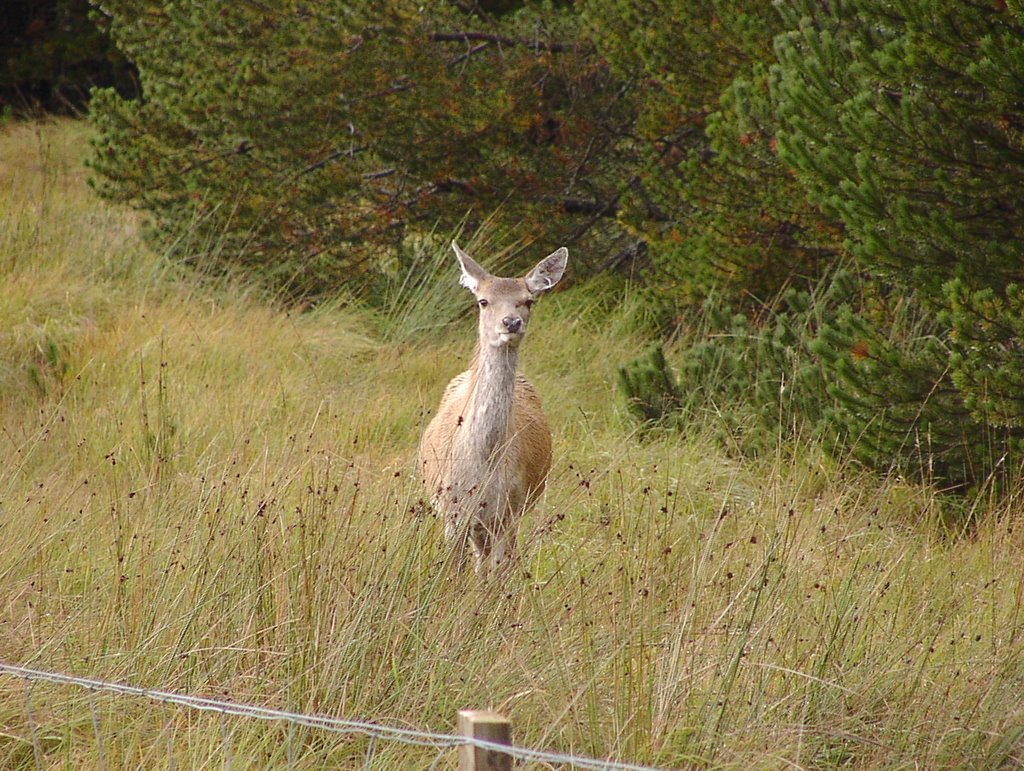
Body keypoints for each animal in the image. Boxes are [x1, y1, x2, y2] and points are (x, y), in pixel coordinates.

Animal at [419, 240, 573, 577]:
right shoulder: (452, 510)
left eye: (529, 301)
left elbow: (499, 574)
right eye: (483, 301)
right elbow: (454, 573)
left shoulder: (509, 508)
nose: (511, 322)